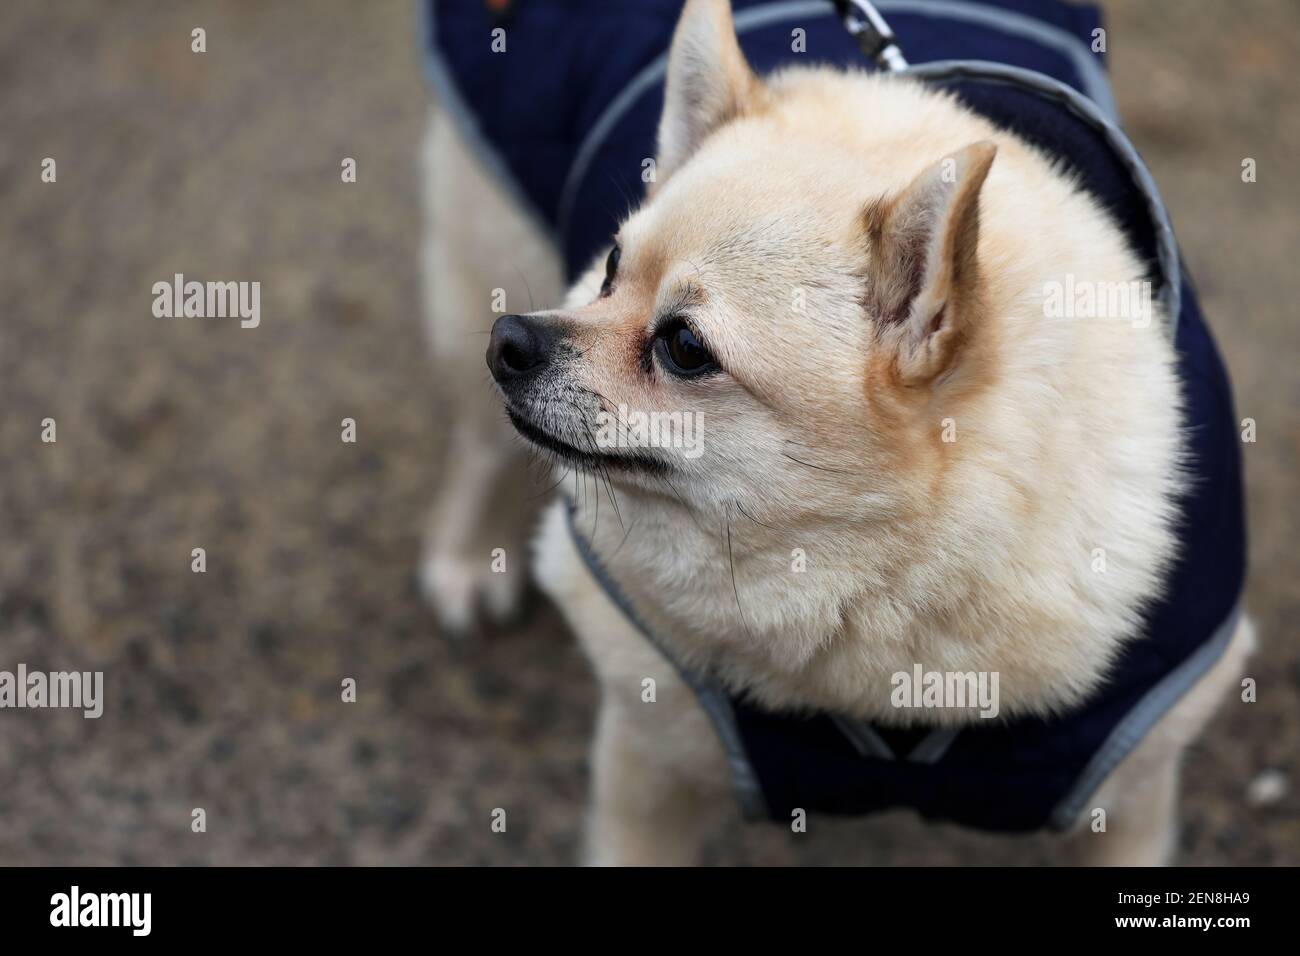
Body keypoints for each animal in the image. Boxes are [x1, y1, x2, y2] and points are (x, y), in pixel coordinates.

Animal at [416, 0, 1248, 868]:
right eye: (609, 271)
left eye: (685, 348)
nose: (510, 340)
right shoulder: (647, 767)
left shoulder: (1131, 800)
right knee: (479, 449)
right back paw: (469, 560)